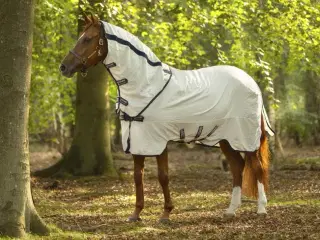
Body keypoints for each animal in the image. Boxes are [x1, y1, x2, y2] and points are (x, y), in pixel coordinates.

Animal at [60, 14, 276, 221]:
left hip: (246, 137)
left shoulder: (159, 140)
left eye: (87, 39)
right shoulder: (138, 140)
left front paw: (165, 214)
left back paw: (261, 209)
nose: (63, 67)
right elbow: (137, 177)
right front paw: (136, 214)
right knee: (237, 167)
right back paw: (231, 210)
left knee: (257, 167)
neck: (145, 85)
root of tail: (251, 82)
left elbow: (163, 176)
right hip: (226, 138)